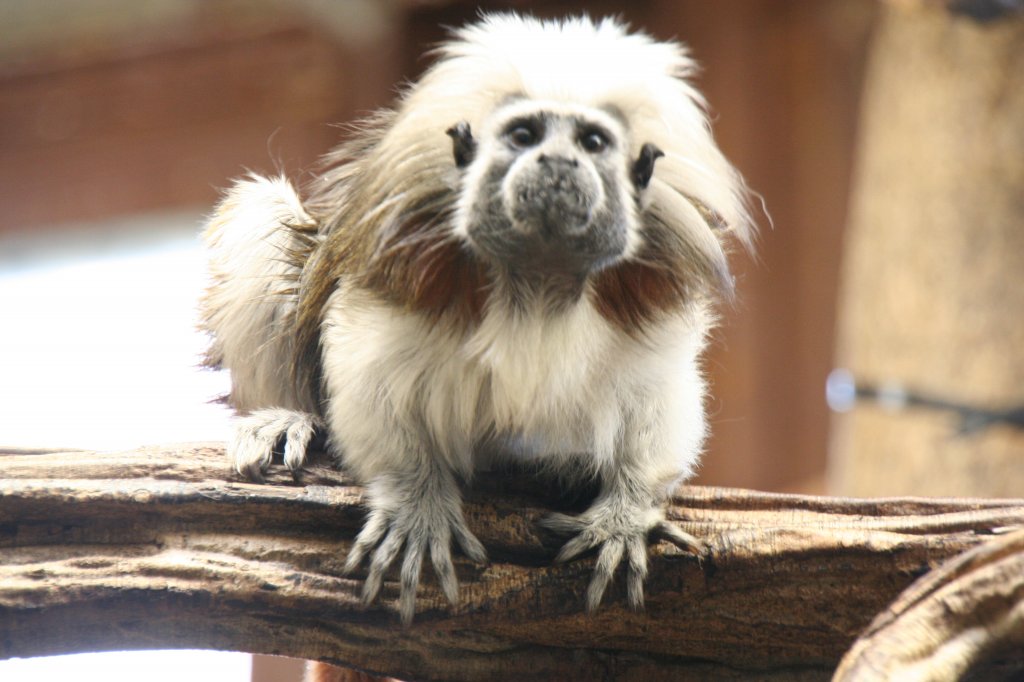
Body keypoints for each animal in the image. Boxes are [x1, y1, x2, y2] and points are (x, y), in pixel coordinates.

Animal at [197, 13, 753, 622]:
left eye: (592, 142)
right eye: (525, 135)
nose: (559, 161)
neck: (537, 284)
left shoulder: (650, 297)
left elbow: (662, 403)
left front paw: (625, 516)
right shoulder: (402, 275)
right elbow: (372, 390)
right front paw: (416, 506)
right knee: (261, 212)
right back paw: (289, 418)